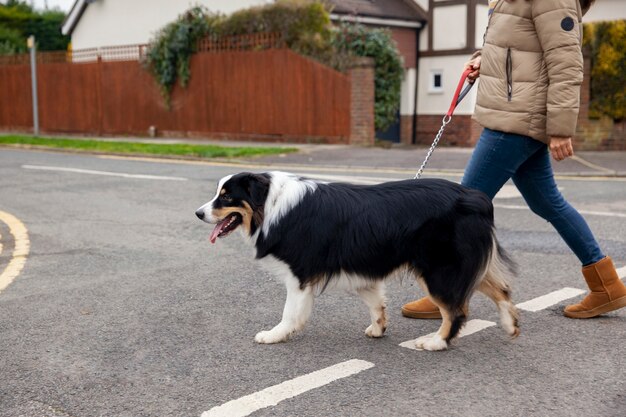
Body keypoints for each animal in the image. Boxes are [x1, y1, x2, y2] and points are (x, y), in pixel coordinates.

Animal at [195, 171, 516, 350]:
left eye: (226, 197)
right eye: (218, 194)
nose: (198, 213)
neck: (271, 203)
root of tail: (478, 198)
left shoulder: (299, 274)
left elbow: (290, 312)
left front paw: (275, 335)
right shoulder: (361, 267)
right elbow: (375, 302)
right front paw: (378, 328)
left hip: (439, 269)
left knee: (456, 310)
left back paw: (436, 342)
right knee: (500, 289)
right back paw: (511, 324)